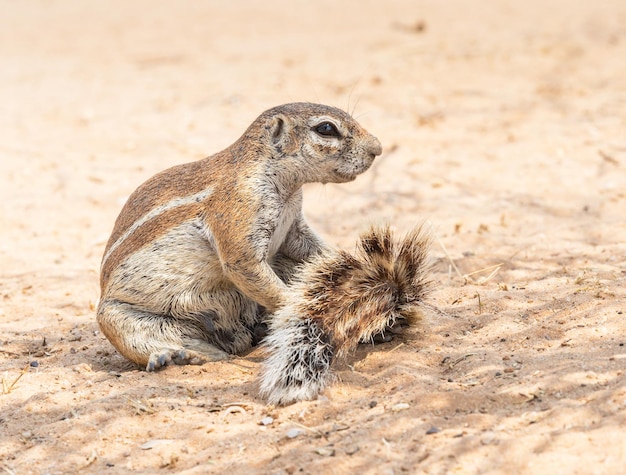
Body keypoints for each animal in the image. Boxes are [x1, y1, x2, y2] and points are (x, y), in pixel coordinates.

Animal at [97, 103, 382, 372]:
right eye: (326, 128)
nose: (377, 148)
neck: (286, 188)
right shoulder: (241, 206)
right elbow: (252, 270)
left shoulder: (294, 229)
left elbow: (313, 248)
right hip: (114, 318)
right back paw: (177, 356)